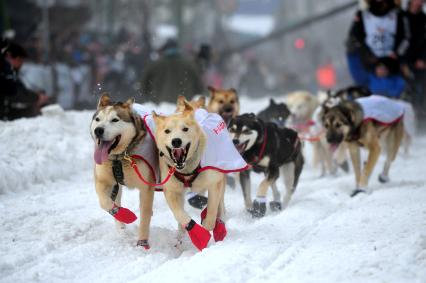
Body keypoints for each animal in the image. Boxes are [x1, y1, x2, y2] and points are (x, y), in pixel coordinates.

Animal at [90, 95, 155, 248]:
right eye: (98, 119)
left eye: (115, 120)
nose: (98, 130)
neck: (118, 158)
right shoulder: (102, 181)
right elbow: (105, 203)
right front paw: (124, 215)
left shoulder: (146, 188)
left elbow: (145, 215)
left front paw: (142, 243)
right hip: (116, 186)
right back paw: (121, 230)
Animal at [151, 101, 228, 252]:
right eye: (167, 131)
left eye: (185, 129)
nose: (176, 141)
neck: (187, 170)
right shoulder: (172, 190)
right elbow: (180, 214)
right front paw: (196, 233)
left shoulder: (214, 183)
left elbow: (211, 214)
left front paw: (207, 227)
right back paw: (180, 238)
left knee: (220, 204)